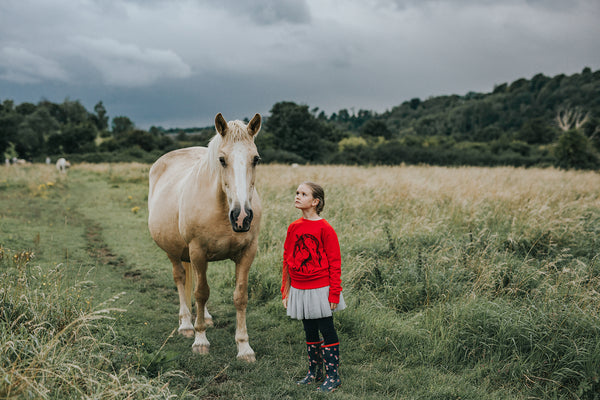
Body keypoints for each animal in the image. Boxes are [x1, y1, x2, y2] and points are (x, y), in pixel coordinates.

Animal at [146, 111, 262, 362]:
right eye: (222, 160)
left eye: (256, 159)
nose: (241, 217)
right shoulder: (197, 250)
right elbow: (200, 293)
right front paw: (200, 340)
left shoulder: (247, 252)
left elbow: (240, 296)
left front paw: (244, 347)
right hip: (174, 251)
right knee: (181, 279)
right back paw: (186, 324)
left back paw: (205, 318)